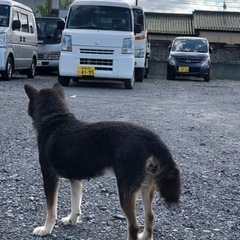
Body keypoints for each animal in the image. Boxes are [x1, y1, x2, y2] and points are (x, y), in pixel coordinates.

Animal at [24, 83, 182, 240]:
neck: (54, 119)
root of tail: (150, 138)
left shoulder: (49, 177)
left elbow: (51, 210)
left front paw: (46, 229)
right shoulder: (75, 179)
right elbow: (75, 204)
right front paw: (72, 219)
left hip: (125, 190)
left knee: (134, 226)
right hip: (146, 187)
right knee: (150, 216)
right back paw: (144, 236)